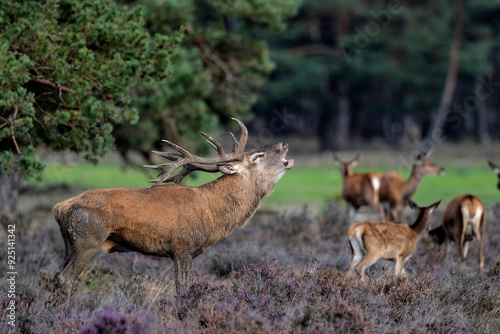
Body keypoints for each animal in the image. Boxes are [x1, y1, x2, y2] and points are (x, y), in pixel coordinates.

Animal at [51, 118, 292, 294]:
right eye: (257, 156)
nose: (284, 144)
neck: (213, 214)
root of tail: (59, 207)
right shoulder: (182, 246)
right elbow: (181, 290)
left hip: (69, 244)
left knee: (54, 276)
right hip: (88, 241)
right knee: (65, 279)